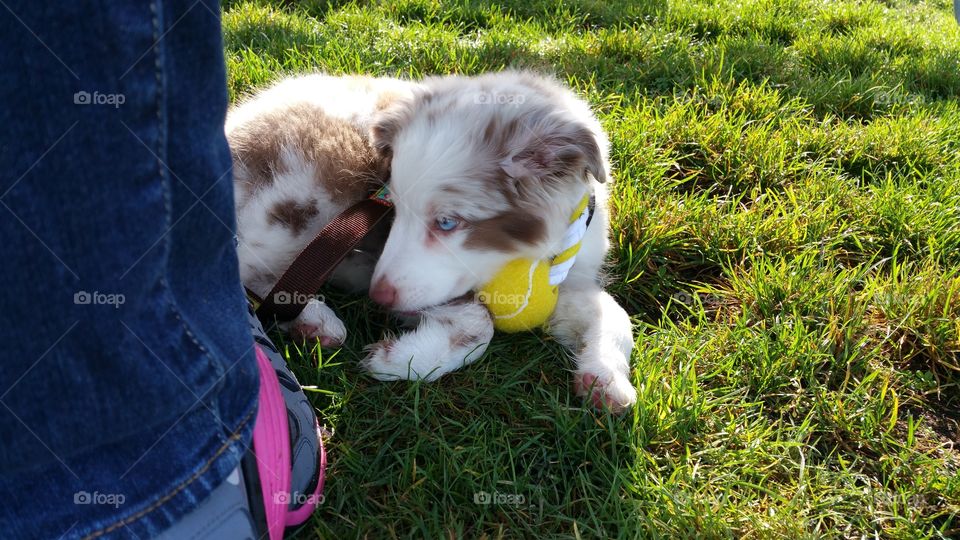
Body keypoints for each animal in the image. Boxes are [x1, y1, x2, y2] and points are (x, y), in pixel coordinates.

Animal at [227, 70, 636, 410]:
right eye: (395, 205)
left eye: (447, 222)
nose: (378, 295)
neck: (528, 255)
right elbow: (479, 323)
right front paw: (401, 360)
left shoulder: (569, 276)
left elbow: (615, 313)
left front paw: (607, 380)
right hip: (312, 186)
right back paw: (316, 317)